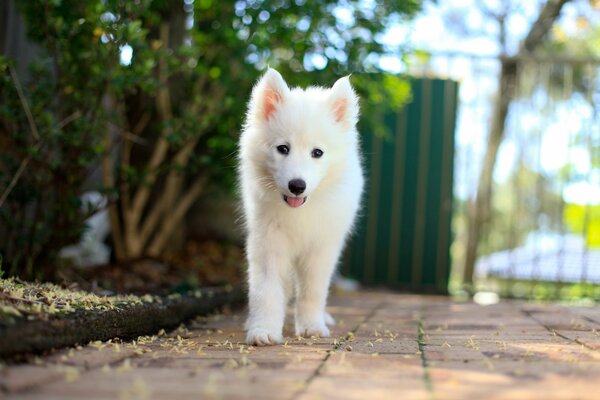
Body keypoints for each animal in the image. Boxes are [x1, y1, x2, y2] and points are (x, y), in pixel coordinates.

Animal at [238, 69, 360, 346]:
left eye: (318, 153)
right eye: (283, 148)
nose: (297, 186)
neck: (299, 212)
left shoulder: (321, 248)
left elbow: (312, 291)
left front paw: (311, 326)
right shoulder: (268, 242)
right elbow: (266, 289)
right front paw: (263, 330)